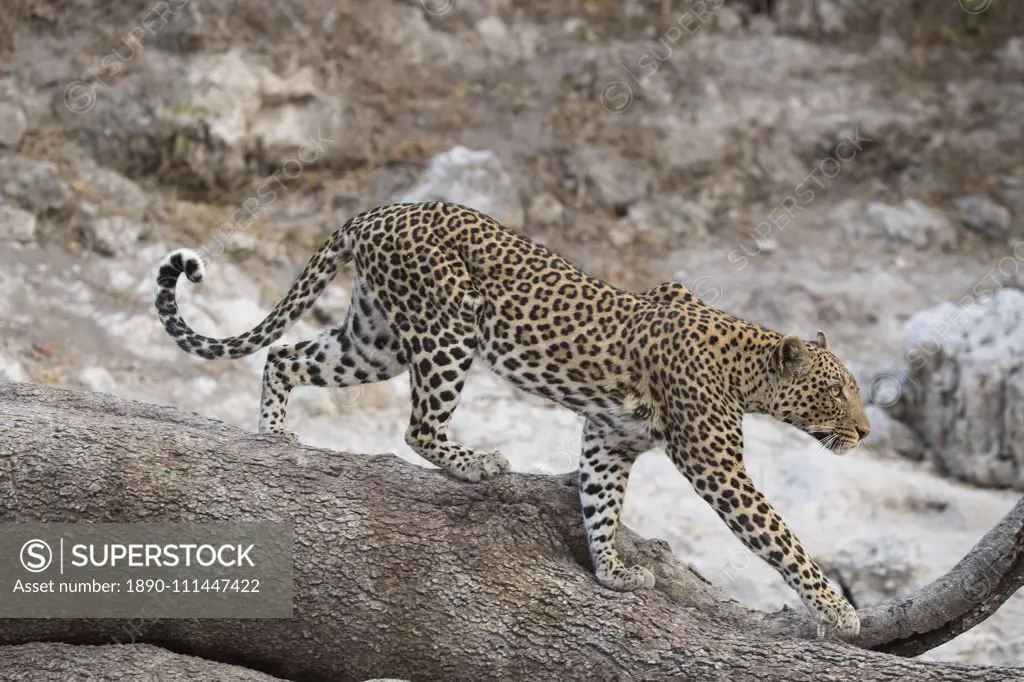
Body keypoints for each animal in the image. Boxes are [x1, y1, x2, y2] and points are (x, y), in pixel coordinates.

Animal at [153, 199, 872, 634]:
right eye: (838, 393)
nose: (865, 433)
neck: (748, 368)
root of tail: (383, 207)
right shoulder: (717, 465)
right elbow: (780, 538)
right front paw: (839, 612)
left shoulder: (609, 440)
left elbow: (602, 504)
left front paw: (611, 572)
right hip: (447, 327)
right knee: (418, 425)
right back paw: (477, 464)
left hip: (374, 340)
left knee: (284, 355)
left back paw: (275, 431)